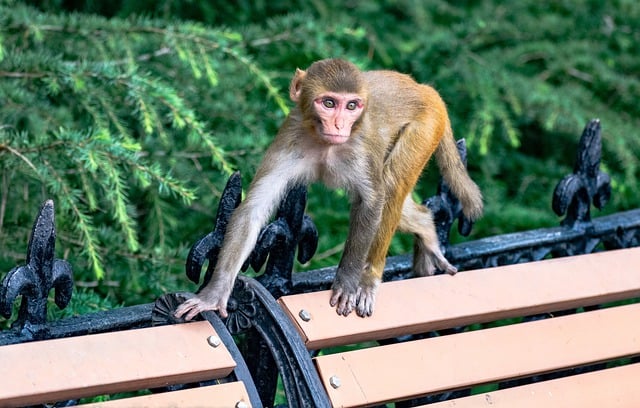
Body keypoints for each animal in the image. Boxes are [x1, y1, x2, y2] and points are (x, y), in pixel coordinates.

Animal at [175, 58, 480, 318]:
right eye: (329, 103)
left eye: (351, 106)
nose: (339, 124)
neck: (324, 143)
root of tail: (423, 89)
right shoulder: (290, 136)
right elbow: (254, 209)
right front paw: (214, 295)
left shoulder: (359, 147)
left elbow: (372, 202)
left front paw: (348, 282)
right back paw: (427, 229)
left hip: (425, 126)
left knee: (391, 186)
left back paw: (370, 278)